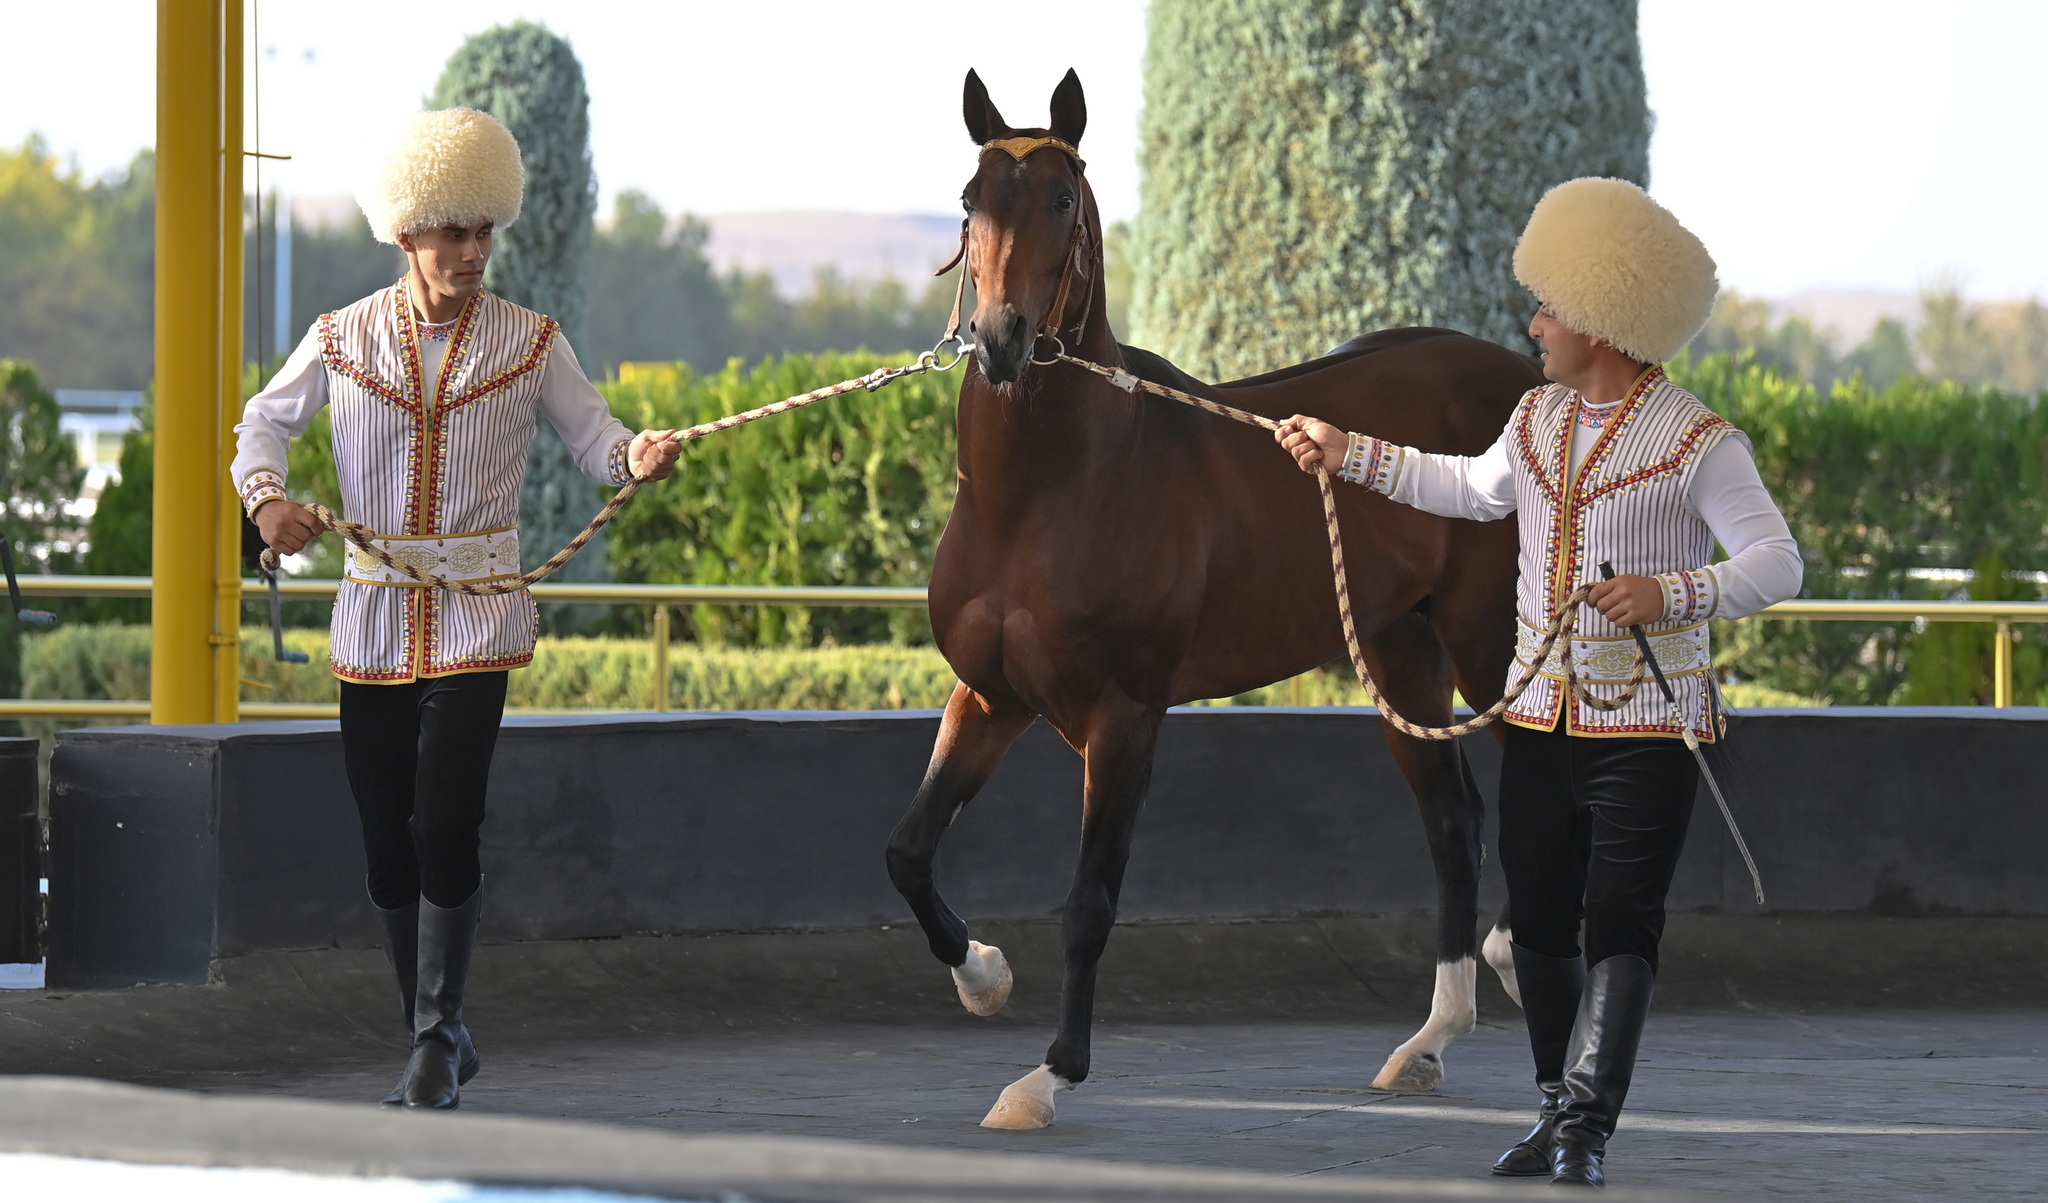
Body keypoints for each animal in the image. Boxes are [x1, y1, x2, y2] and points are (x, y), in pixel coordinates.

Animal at [888, 72, 1540, 1131]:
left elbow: (1090, 902)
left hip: (1490, 645)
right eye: (969, 199)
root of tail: (1537, 386)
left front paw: (1047, 1075)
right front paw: (982, 976)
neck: (1047, 488)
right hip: (1402, 655)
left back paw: (1511, 955)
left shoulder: (1124, 717)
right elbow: (908, 848)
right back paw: (1428, 1041)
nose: (999, 343)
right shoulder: (990, 697)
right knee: (1454, 820)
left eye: (1061, 199)